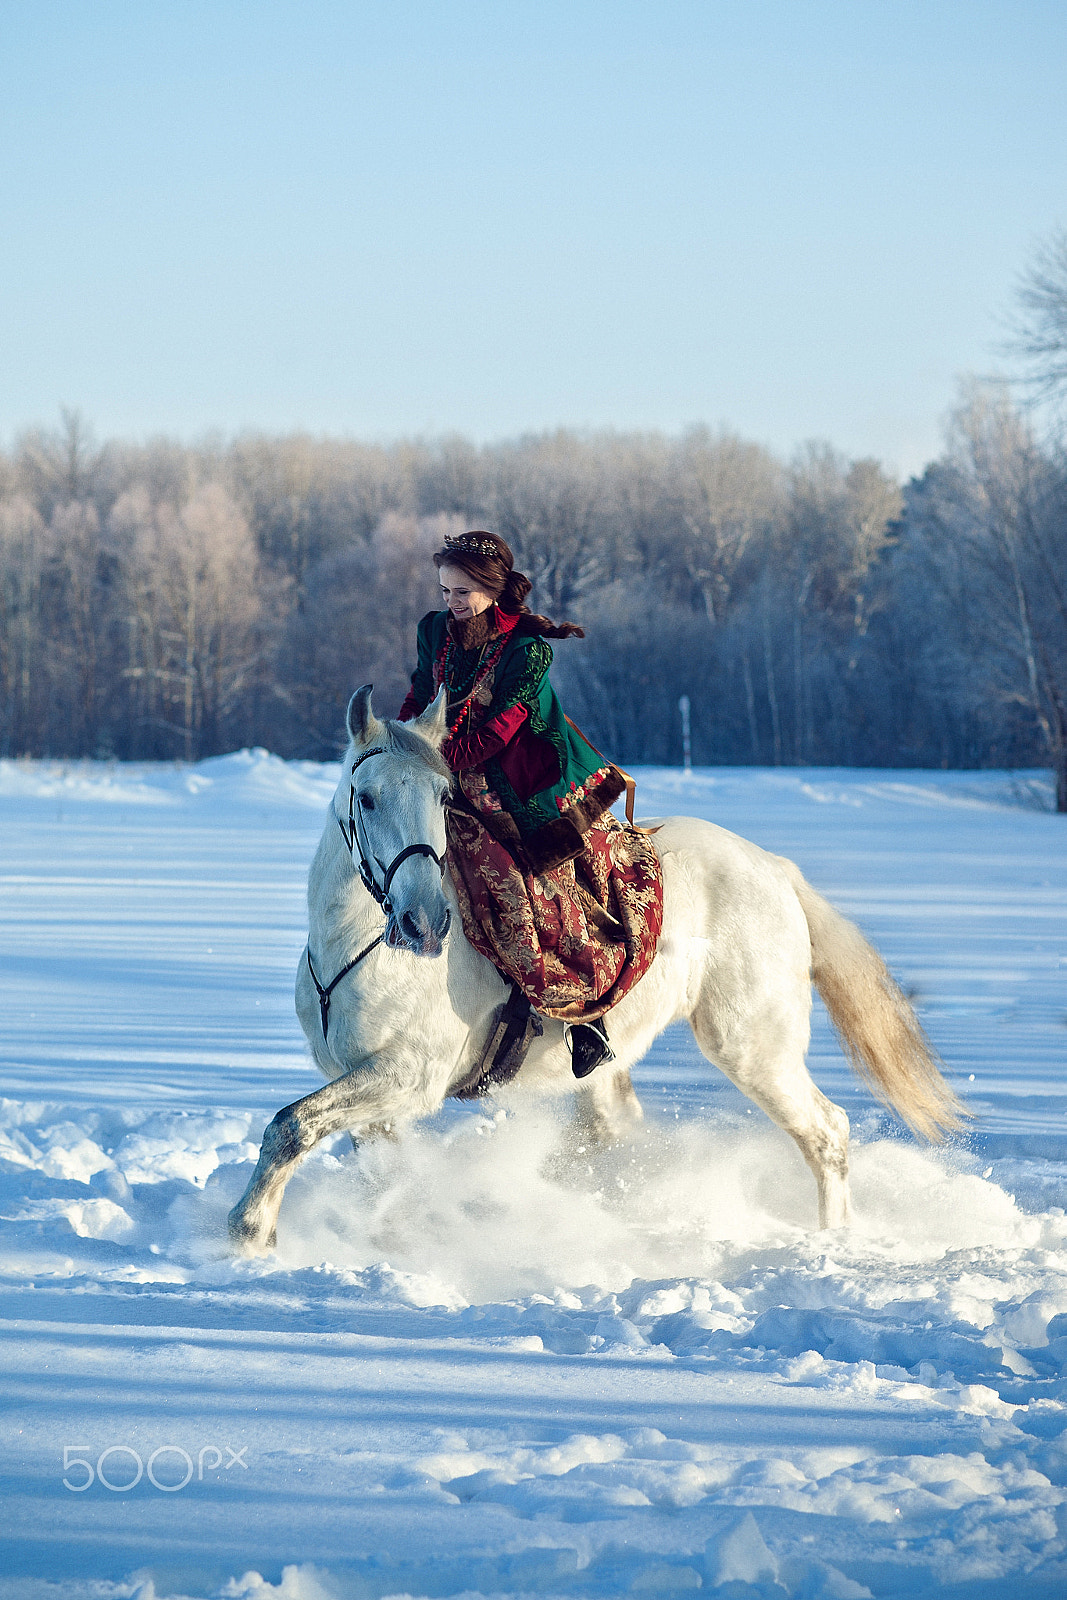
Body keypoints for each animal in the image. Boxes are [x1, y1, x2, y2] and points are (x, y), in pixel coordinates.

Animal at [227, 684, 966, 1248]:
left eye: (441, 798)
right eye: (369, 797)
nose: (424, 923)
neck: (357, 952)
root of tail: (775, 871)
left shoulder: (409, 1076)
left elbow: (289, 1126)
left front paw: (248, 1231)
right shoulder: (371, 1092)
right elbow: (368, 1167)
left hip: (755, 1044)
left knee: (826, 1134)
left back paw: (831, 1244)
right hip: (618, 1064)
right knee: (619, 1133)